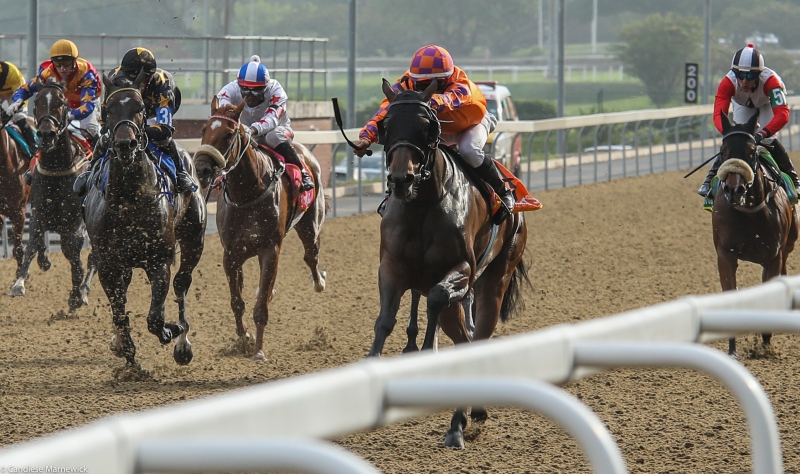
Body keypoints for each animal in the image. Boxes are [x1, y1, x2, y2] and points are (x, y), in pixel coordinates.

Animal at [8, 78, 95, 313]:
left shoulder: (75, 222)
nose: (47, 134)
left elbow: (75, 254)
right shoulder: (38, 212)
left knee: (93, 257)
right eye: (37, 101)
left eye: (61, 102)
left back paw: (83, 291)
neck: (58, 168)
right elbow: (31, 244)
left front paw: (76, 295)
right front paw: (19, 283)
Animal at [82, 73, 206, 367]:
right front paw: (127, 354)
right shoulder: (108, 265)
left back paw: (183, 342)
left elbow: (155, 318)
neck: (129, 200)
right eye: (108, 108)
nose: (124, 144)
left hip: (193, 238)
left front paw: (172, 330)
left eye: (139, 107)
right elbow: (119, 312)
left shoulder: (159, 261)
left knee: (182, 283)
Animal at [193, 101, 327, 361]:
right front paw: (244, 337)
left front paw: (258, 351)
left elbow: (261, 307)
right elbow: (237, 300)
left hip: (310, 223)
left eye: (229, 134)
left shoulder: (269, 249)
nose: (202, 169)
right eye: (204, 129)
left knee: (311, 256)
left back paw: (319, 282)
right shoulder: (231, 254)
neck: (247, 193)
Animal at [370, 79, 529, 448]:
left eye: (426, 126)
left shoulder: (462, 270)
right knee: (463, 336)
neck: (422, 205)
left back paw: (461, 422)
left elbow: (436, 300)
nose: (400, 180)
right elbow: (384, 321)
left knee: (477, 334)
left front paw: (425, 351)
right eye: (386, 125)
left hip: (496, 277)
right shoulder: (392, 268)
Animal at [713, 111, 799, 357]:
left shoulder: (773, 256)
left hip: (789, 242)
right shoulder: (725, 255)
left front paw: (766, 343)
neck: (748, 211)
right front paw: (732, 350)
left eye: (751, 151)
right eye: (723, 151)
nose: (734, 190)